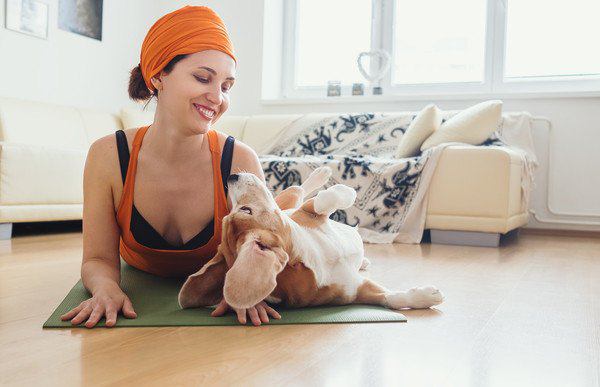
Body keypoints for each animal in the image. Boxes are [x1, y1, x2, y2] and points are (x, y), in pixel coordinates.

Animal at [176, 167, 442, 312]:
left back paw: (321, 173)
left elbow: (322, 201)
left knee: (299, 188)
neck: (315, 257)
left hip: (290, 202)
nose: (231, 176)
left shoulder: (304, 213)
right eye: (246, 210)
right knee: (300, 189)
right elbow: (391, 299)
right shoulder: (355, 291)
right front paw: (428, 295)